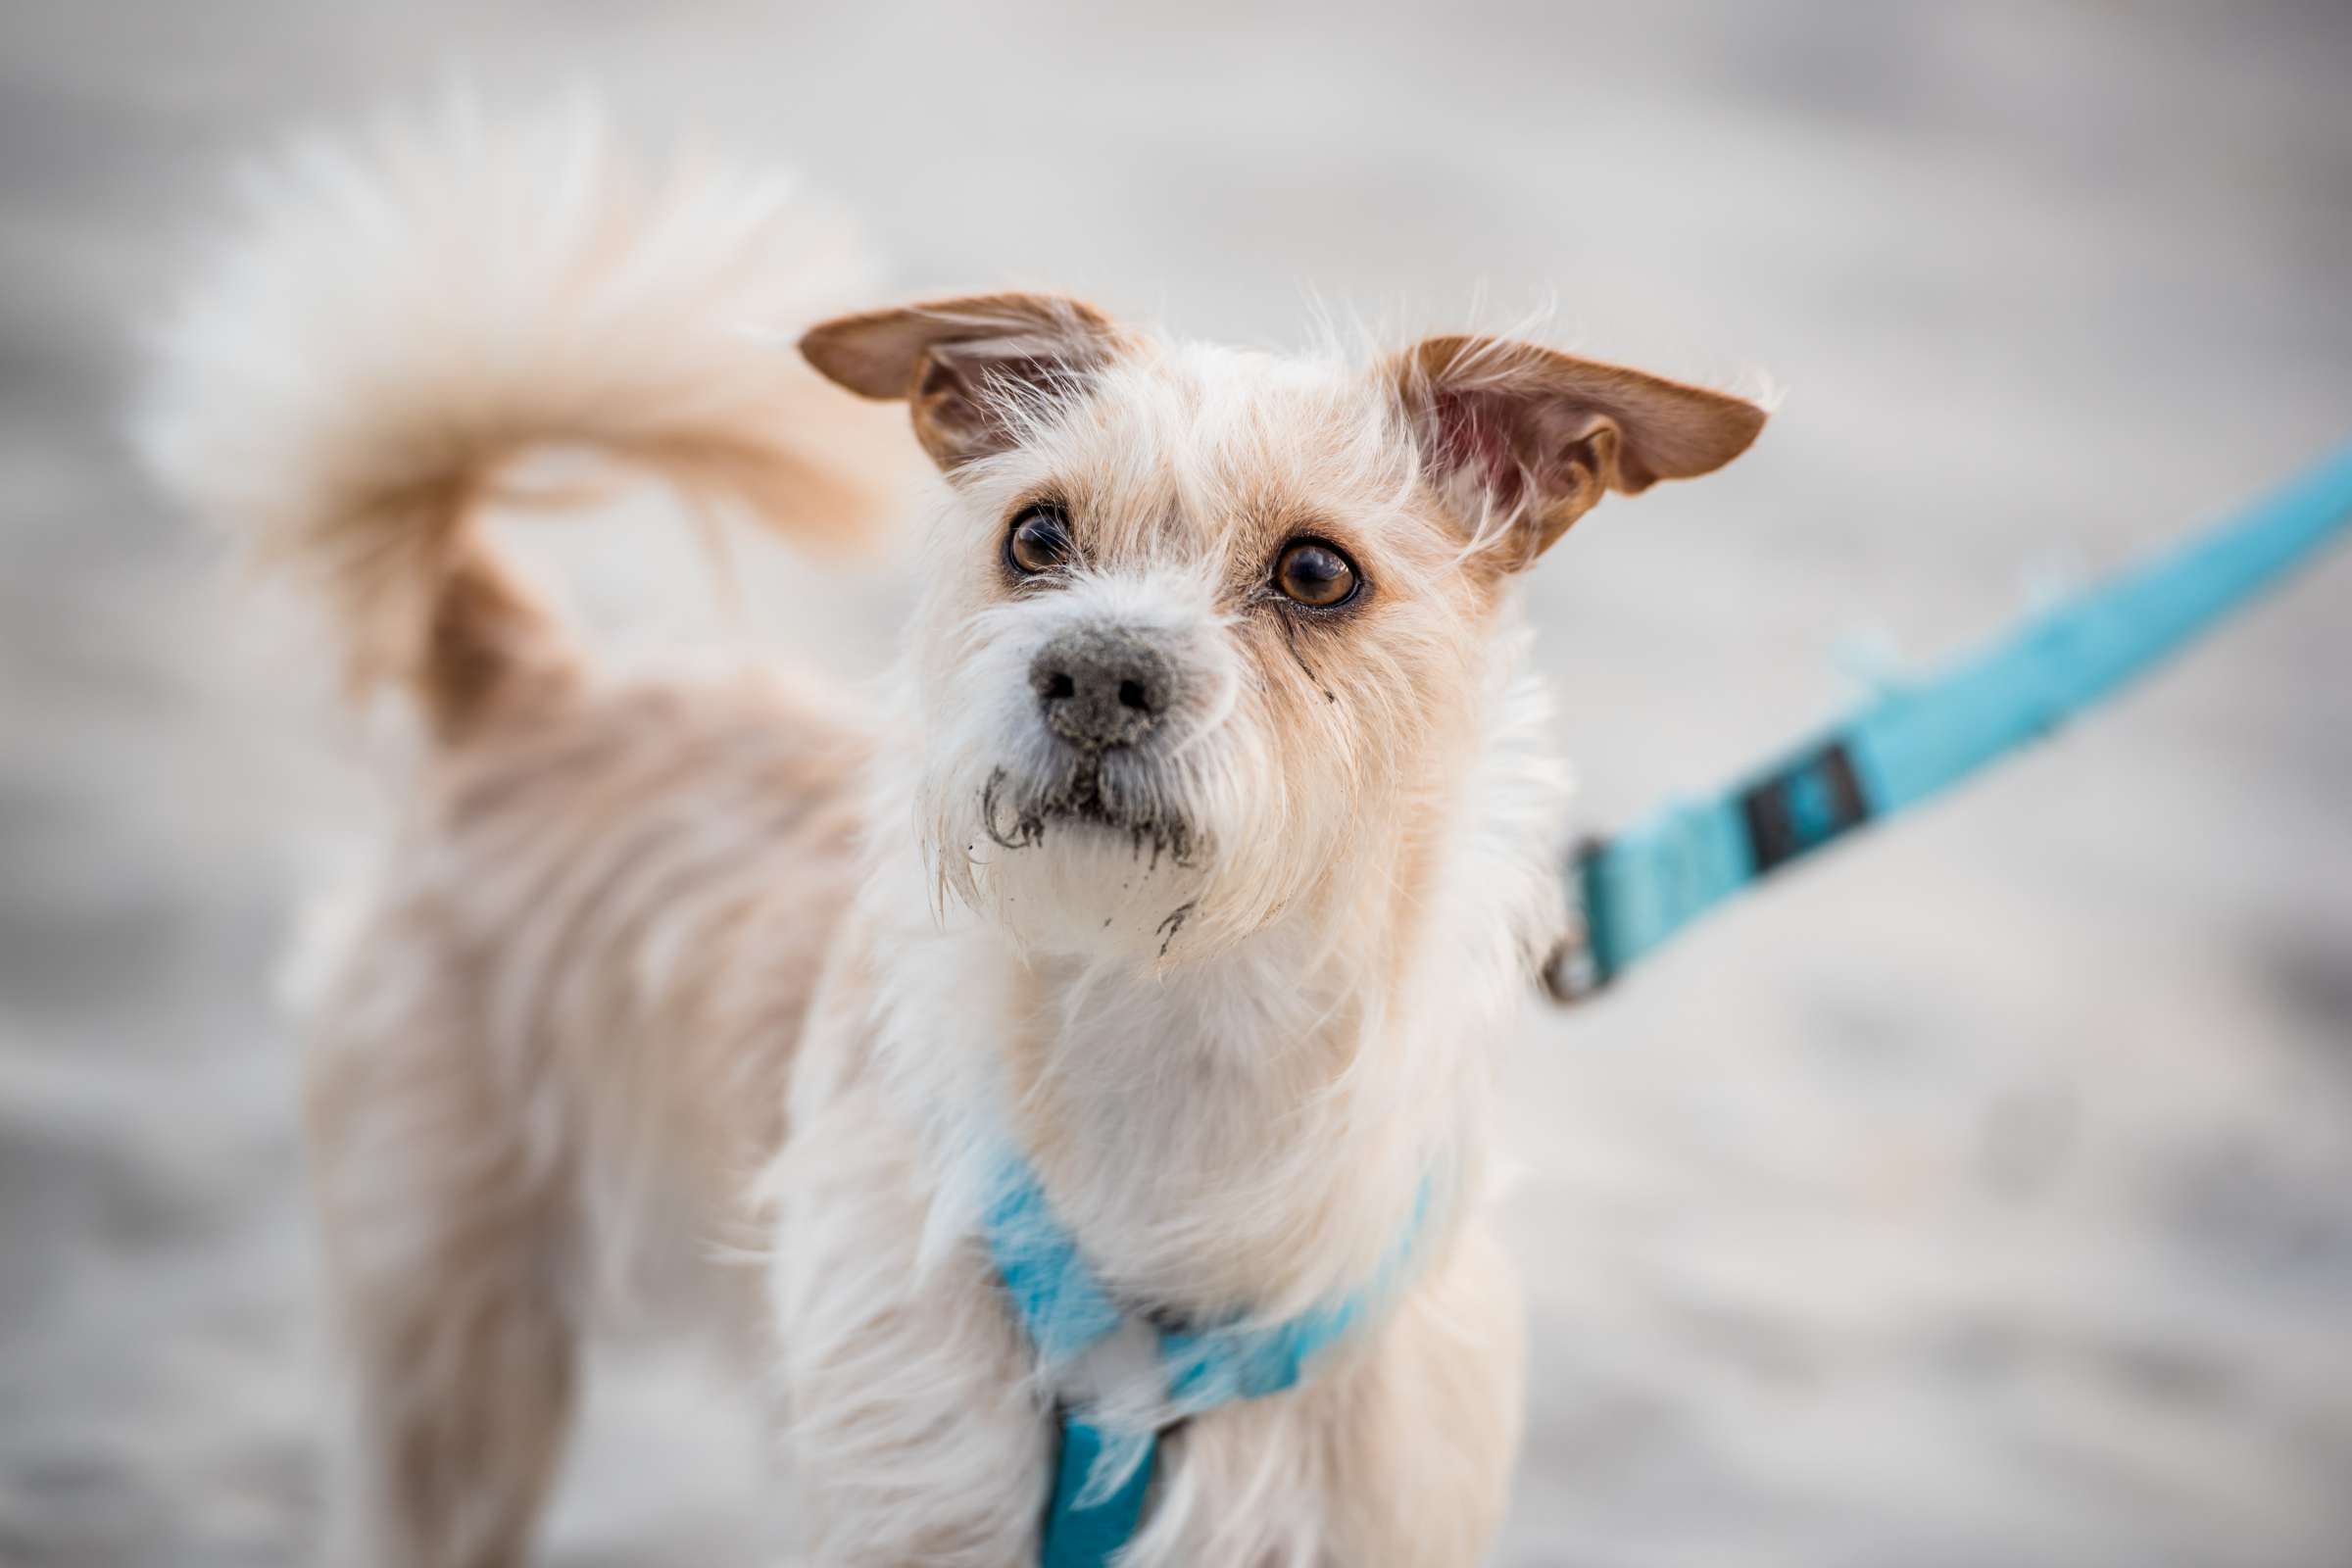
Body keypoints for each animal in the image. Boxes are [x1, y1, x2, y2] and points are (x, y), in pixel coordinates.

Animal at [142, 110, 1768, 1568]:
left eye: (1318, 573)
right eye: (1035, 538)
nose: (1095, 674)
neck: (1180, 1036)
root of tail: (530, 679)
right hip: (452, 1369)